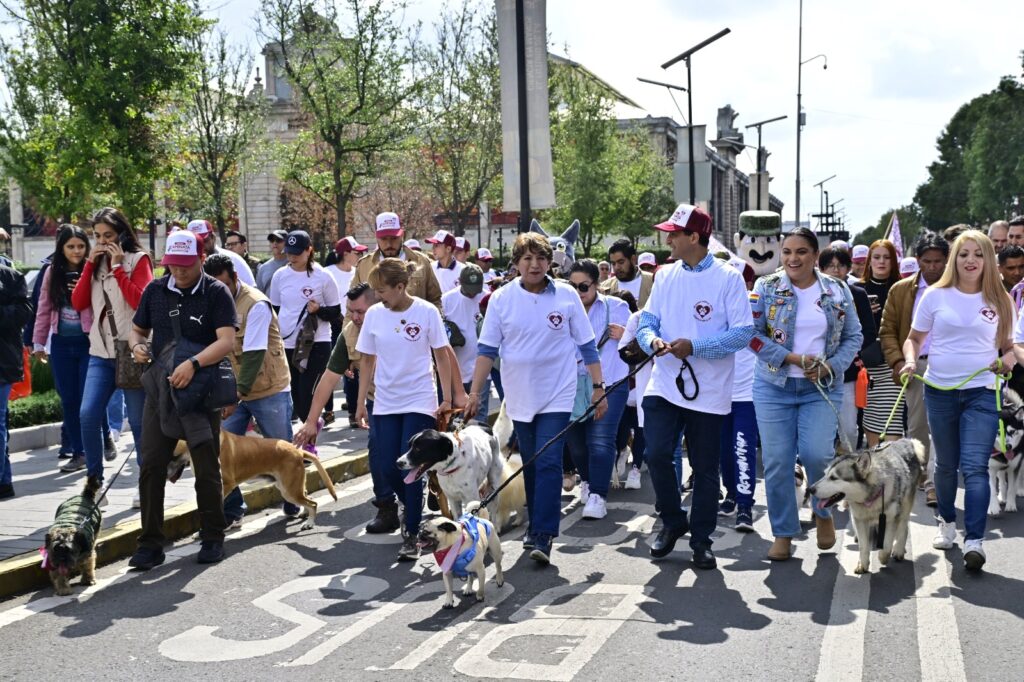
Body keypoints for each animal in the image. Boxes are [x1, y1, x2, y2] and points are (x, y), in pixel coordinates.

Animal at [166, 428, 335, 528]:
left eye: (172, 455)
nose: (165, 475)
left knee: (313, 503)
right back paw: (305, 514)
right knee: (307, 496)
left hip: (289, 491)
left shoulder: (226, 484)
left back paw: (309, 522)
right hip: (289, 487)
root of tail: (298, 451)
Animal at [399, 421, 528, 528]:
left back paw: (497, 527)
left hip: (494, 484)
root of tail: (485, 425)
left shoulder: (472, 499)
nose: (398, 463)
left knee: (494, 510)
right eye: (409, 446)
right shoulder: (452, 499)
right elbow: (457, 519)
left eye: (418, 448)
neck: (451, 469)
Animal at [806, 438, 929, 569]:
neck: (869, 499)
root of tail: (906, 440)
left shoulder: (891, 519)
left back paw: (899, 551)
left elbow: (887, 545)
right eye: (825, 475)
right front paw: (862, 565)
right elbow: (863, 545)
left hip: (905, 507)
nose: (810, 489)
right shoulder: (860, 519)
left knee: (903, 529)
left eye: (833, 478)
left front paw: (883, 557)